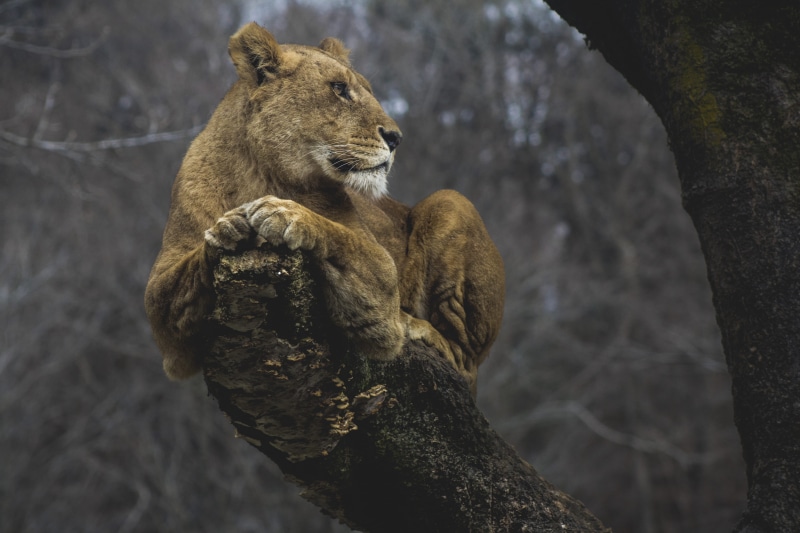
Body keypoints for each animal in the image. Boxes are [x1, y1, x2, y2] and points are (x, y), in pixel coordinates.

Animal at [144, 22, 505, 395]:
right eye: (339, 88)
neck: (262, 172)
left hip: (451, 201)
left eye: (367, 89)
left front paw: (283, 214)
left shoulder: (381, 277)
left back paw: (415, 326)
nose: (396, 138)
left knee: (463, 359)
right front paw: (227, 230)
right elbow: (186, 269)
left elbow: (338, 235)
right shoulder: (166, 324)